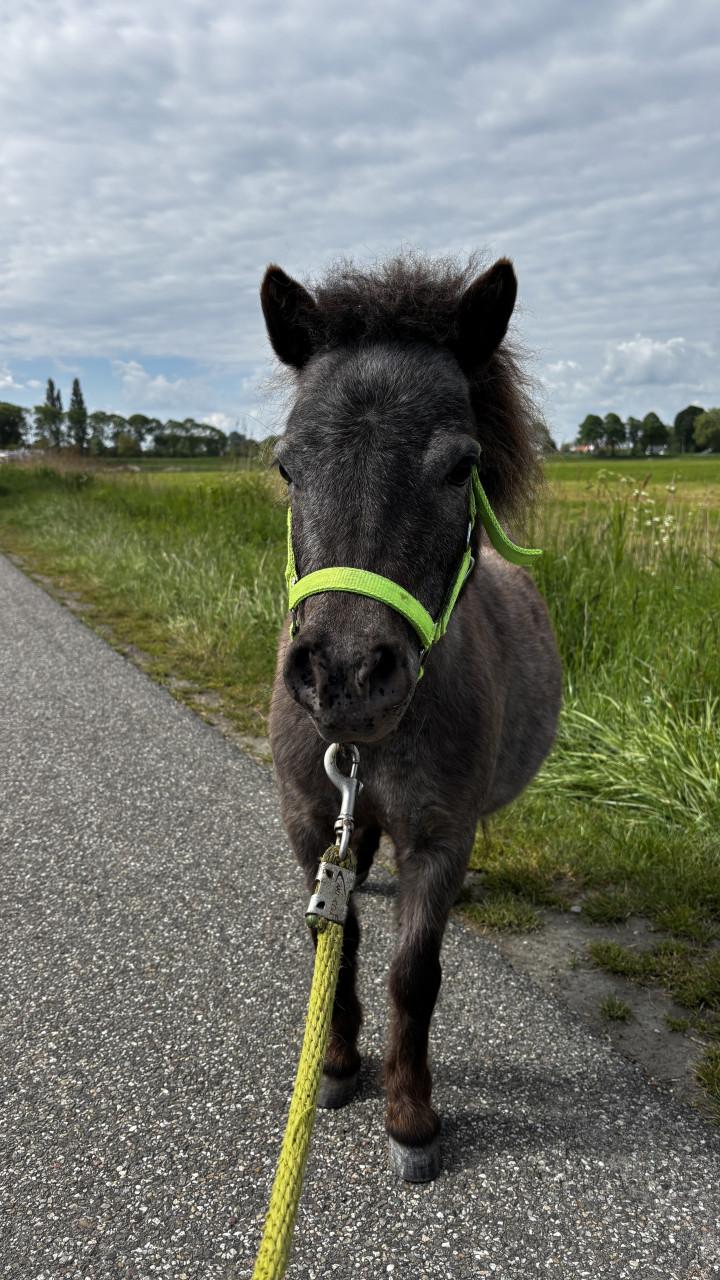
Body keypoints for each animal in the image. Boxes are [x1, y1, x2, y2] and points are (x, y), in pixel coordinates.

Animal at [261, 253, 562, 1181]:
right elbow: (340, 947)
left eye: (462, 466)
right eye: (287, 466)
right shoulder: (308, 821)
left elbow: (412, 975)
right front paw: (335, 1066)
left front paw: (410, 1114)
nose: (347, 675)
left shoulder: (439, 838)